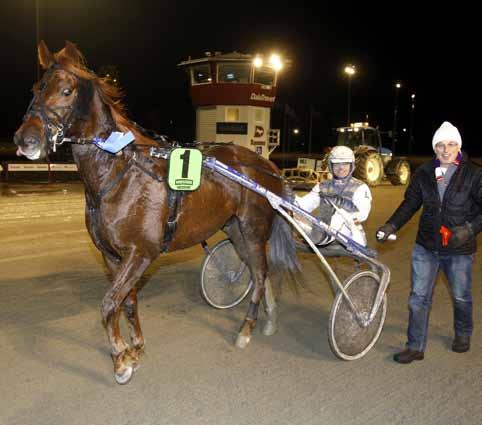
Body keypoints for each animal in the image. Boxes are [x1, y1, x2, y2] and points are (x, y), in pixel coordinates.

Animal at [14, 41, 298, 382]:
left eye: (66, 90)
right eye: (35, 88)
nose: (25, 139)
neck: (117, 171)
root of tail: (267, 165)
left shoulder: (141, 252)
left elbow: (109, 303)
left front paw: (120, 360)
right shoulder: (113, 256)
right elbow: (128, 302)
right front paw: (135, 347)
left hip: (253, 229)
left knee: (259, 272)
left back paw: (246, 330)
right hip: (235, 230)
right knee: (260, 273)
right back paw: (270, 319)